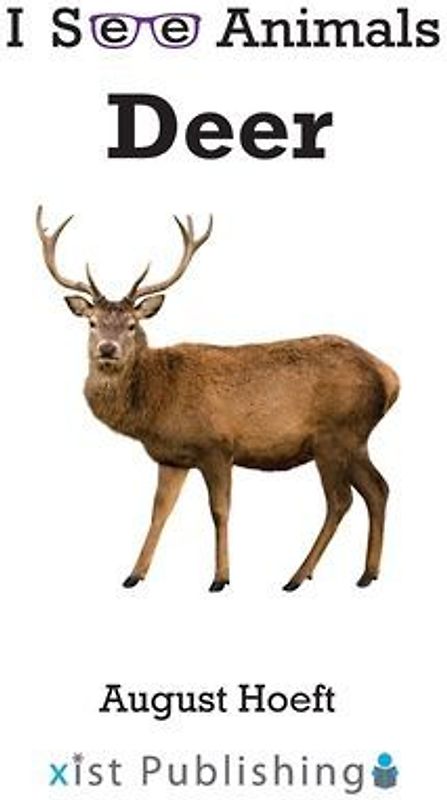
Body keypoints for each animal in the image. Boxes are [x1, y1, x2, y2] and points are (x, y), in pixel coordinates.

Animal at [36, 207, 399, 592]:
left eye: (132, 325)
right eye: (91, 322)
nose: (108, 349)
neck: (157, 401)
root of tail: (390, 377)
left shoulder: (217, 446)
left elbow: (219, 510)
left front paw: (220, 577)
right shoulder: (172, 457)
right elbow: (159, 512)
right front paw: (134, 574)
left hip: (334, 435)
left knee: (340, 500)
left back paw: (298, 576)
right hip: (355, 440)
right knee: (378, 489)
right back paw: (367, 573)